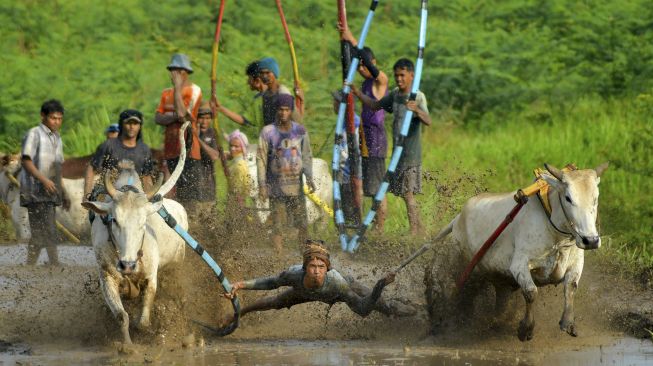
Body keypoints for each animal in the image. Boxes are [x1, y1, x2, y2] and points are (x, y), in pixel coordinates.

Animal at [80, 122, 190, 344]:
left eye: (143, 222)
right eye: (113, 219)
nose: (128, 265)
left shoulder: (151, 278)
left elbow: (144, 321)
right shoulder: (107, 278)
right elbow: (122, 317)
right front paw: (128, 346)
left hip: (178, 261)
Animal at [430, 163, 608, 340]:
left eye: (595, 198)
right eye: (568, 198)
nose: (591, 240)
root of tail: (457, 218)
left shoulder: (576, 262)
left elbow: (571, 287)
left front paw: (568, 322)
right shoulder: (518, 265)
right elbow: (530, 292)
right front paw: (526, 328)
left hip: (499, 282)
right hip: (467, 267)